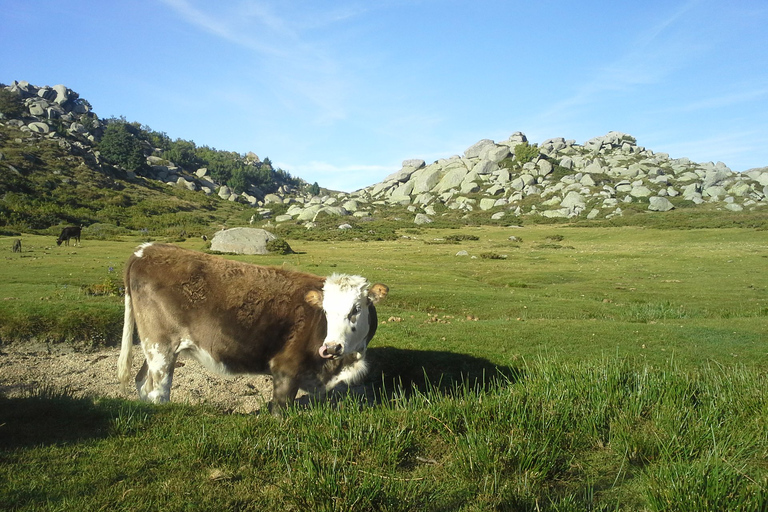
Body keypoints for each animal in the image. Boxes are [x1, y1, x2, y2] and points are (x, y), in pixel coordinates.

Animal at [118, 242, 390, 414]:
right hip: (161, 347)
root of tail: (145, 249)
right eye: (325, 310)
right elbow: (280, 410)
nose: (331, 347)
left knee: (142, 382)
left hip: (155, 349)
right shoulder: (285, 369)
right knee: (157, 390)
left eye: (356, 309)